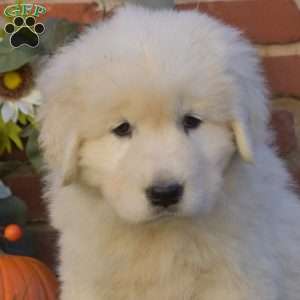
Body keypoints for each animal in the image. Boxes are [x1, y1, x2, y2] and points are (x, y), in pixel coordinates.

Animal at [38, 5, 300, 300]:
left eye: (191, 121)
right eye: (122, 128)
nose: (165, 193)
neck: (160, 233)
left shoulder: (237, 278)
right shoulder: (88, 279)